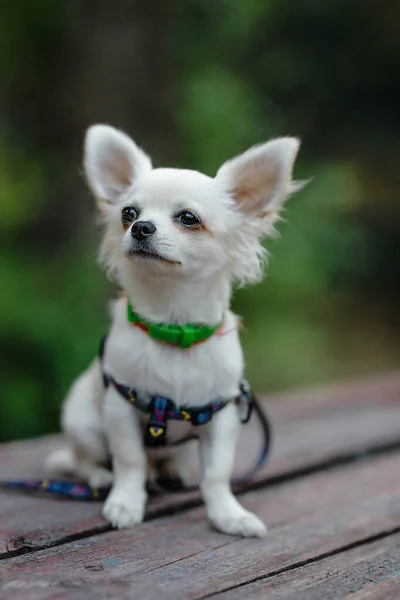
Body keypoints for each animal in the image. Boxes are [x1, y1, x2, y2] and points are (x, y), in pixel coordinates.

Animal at [47, 124, 302, 536]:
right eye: (127, 213)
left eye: (187, 217)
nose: (140, 227)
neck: (173, 327)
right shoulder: (120, 409)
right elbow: (130, 461)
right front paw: (125, 503)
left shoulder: (221, 418)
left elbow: (217, 474)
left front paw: (228, 515)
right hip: (84, 423)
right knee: (85, 460)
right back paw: (101, 477)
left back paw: (168, 472)